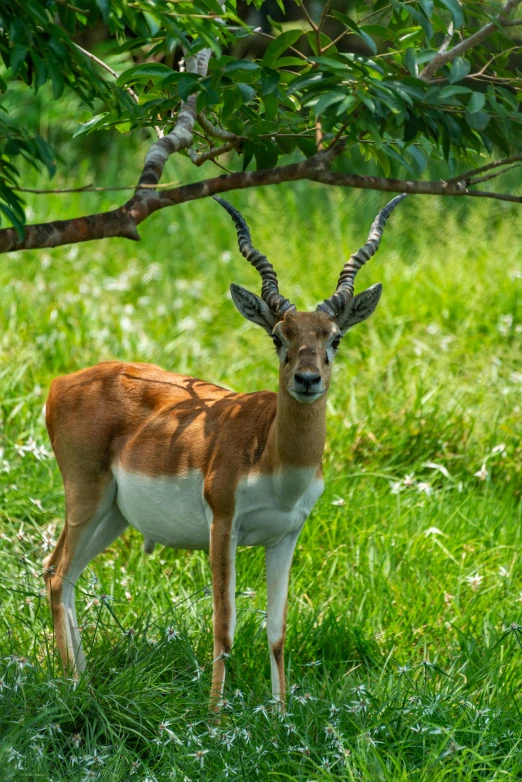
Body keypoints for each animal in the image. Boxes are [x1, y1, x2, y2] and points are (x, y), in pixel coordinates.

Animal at [43, 191, 402, 712]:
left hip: (113, 514)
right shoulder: (223, 525)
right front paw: (214, 719)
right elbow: (224, 627)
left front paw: (280, 715)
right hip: (85, 497)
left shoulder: (285, 535)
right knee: (56, 574)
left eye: (334, 338)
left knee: (65, 576)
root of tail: (61, 382)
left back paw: (85, 680)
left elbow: (277, 632)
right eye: (278, 337)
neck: (273, 455)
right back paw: (72, 684)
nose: (307, 379)